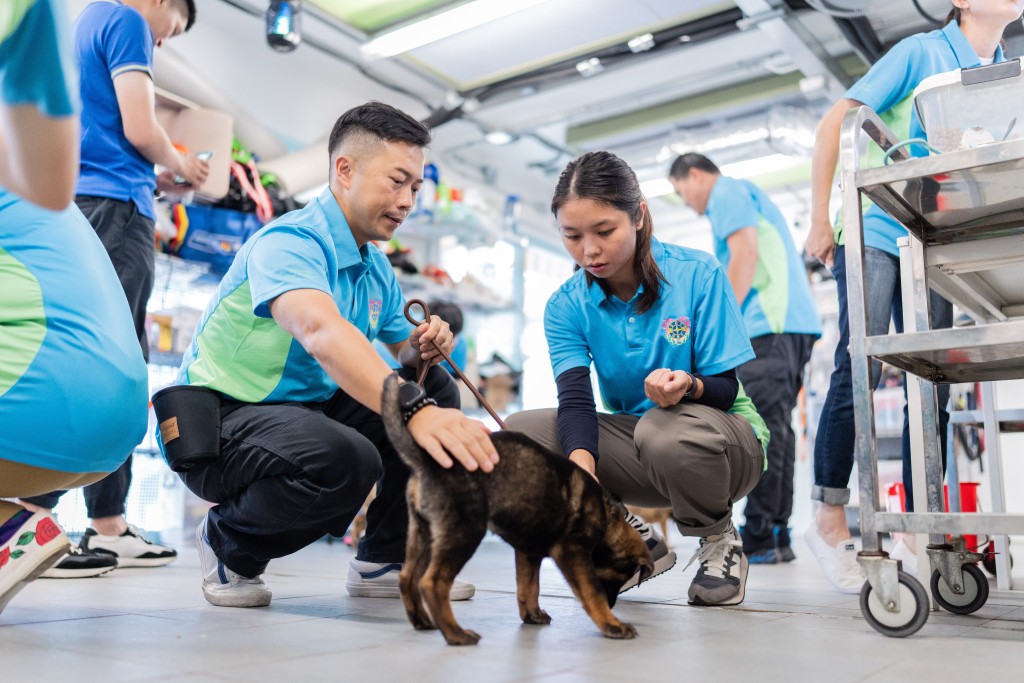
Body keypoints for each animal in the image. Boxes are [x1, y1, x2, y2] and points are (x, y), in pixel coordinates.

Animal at [380, 374, 651, 647]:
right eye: (619, 578)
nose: (612, 605)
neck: (606, 517)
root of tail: (426, 461)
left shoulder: (528, 551)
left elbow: (529, 586)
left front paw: (532, 615)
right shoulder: (572, 552)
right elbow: (591, 592)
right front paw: (611, 624)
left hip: (423, 533)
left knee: (408, 577)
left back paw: (423, 621)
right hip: (464, 532)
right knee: (432, 583)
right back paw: (456, 633)